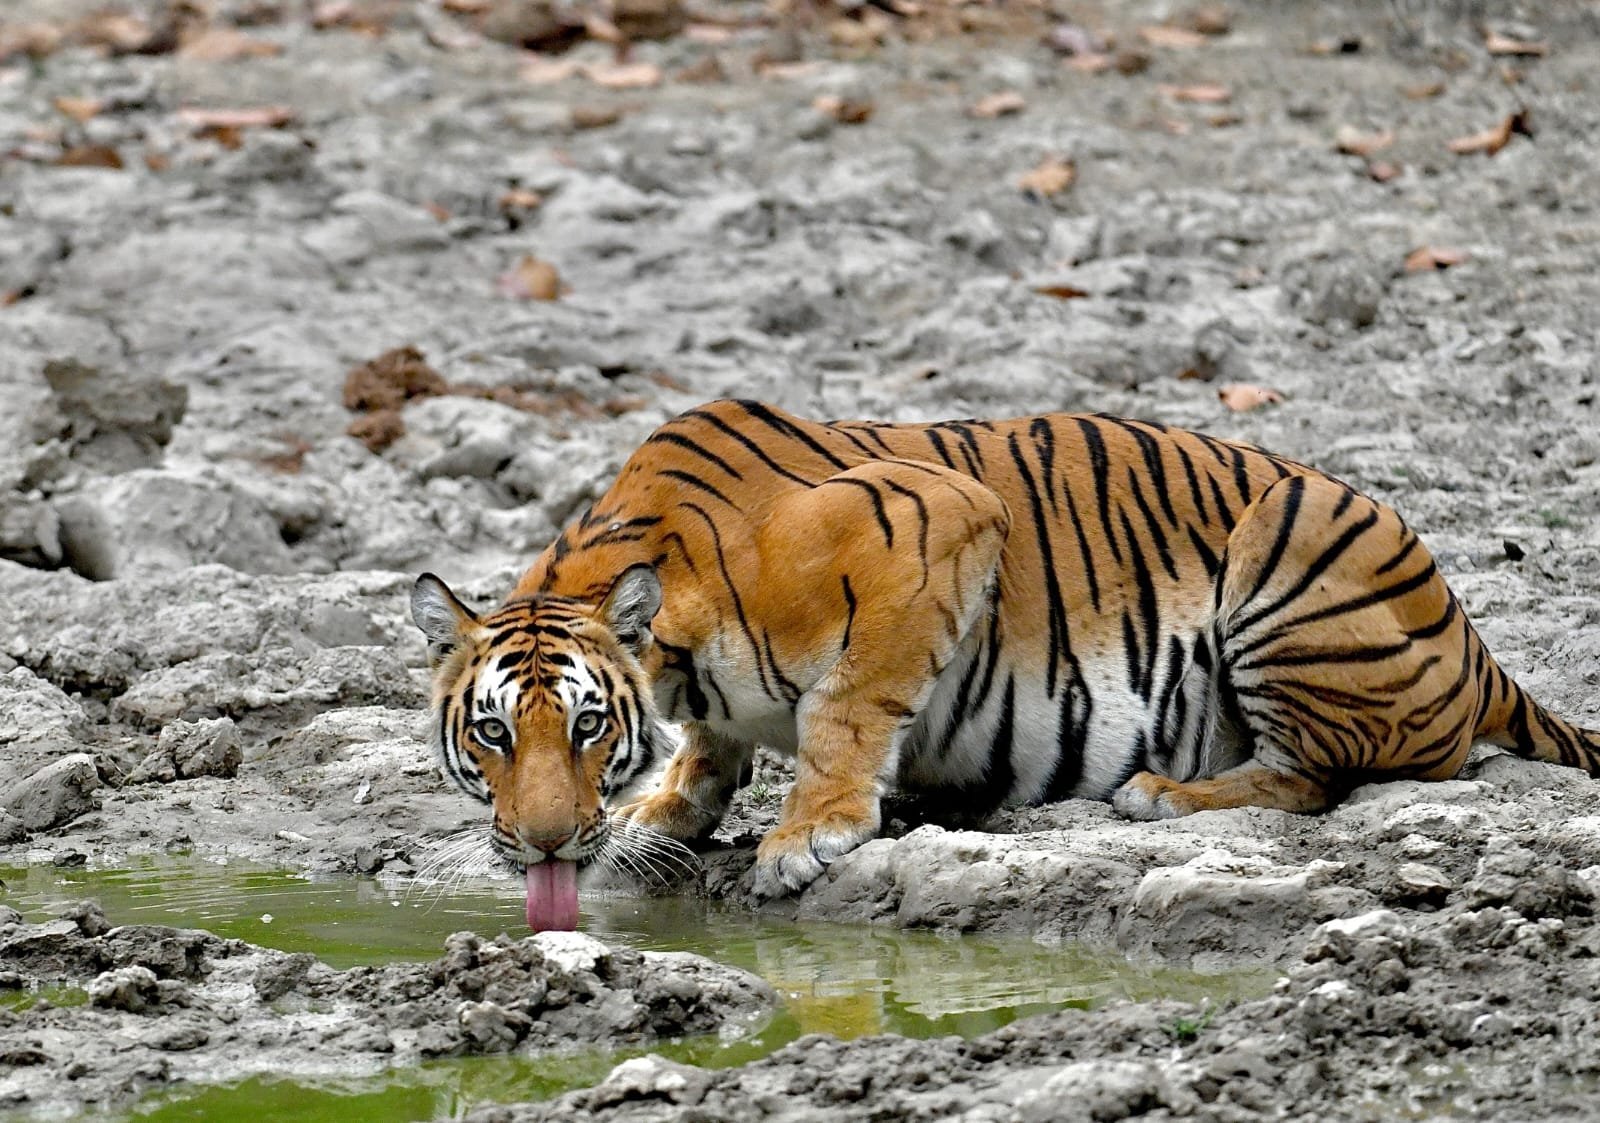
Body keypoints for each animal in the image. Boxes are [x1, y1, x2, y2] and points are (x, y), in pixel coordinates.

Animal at [412, 398, 1600, 928]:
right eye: (491, 733)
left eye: (586, 726)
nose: (544, 845)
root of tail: (1476, 640)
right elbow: (710, 747)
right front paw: (665, 810)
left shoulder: (935, 521)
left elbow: (847, 708)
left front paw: (806, 835)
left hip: (1291, 541)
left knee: (1323, 771)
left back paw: (1165, 792)